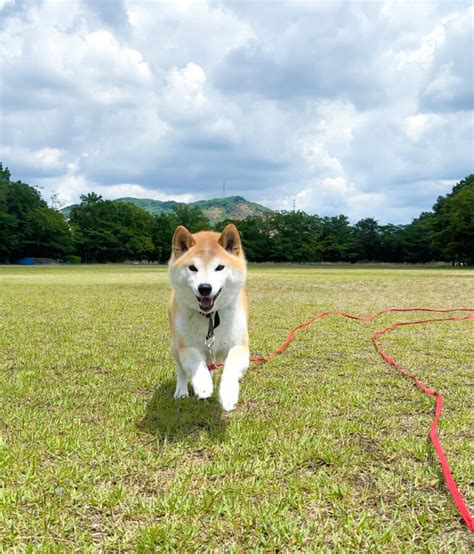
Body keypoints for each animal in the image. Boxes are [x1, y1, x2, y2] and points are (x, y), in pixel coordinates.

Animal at [168, 224, 250, 410]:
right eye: (192, 267)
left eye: (219, 267)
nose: (205, 288)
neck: (210, 317)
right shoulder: (187, 346)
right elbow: (196, 364)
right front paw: (203, 385)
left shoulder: (240, 345)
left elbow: (231, 366)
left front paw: (228, 394)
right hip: (175, 346)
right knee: (182, 370)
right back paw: (181, 391)